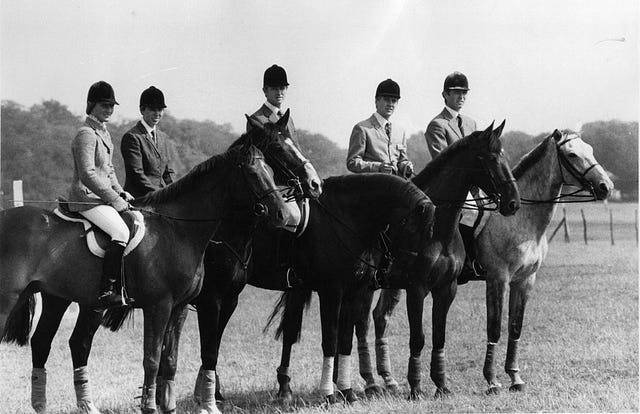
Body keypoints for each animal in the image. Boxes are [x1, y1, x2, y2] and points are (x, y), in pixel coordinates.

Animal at [23, 111, 324, 414]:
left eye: (271, 170)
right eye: (277, 149)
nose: (314, 184)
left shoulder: (213, 303)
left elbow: (186, 354)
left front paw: (175, 399)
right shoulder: (196, 303)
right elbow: (185, 352)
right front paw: (199, 400)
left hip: (76, 301)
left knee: (67, 342)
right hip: (77, 302)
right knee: (63, 342)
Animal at [264, 121, 520, 402]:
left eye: (505, 155)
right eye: (491, 158)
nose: (513, 202)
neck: (437, 229)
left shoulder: (446, 288)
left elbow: (439, 336)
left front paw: (441, 385)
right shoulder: (417, 289)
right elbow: (418, 338)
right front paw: (416, 387)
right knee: (297, 331)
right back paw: (297, 388)